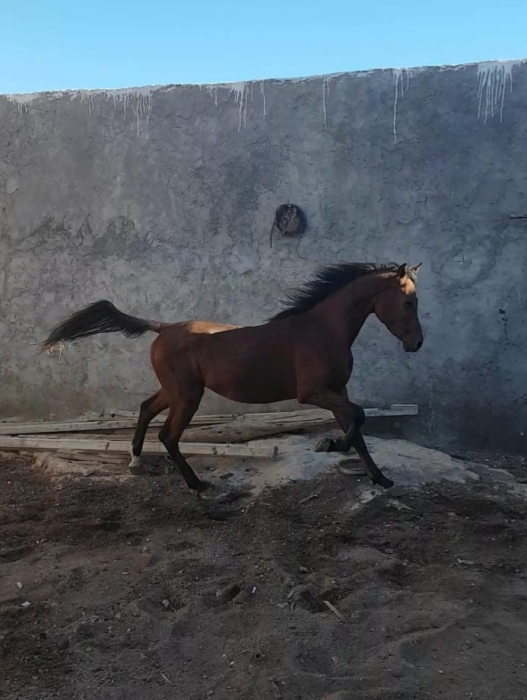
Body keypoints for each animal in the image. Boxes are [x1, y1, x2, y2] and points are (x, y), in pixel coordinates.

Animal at [41, 261, 423, 497]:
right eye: (408, 302)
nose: (417, 343)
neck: (323, 330)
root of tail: (163, 327)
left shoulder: (337, 389)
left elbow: (357, 431)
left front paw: (381, 478)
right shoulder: (313, 393)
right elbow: (358, 417)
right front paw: (329, 445)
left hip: (176, 391)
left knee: (146, 408)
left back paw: (136, 461)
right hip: (187, 396)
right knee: (167, 435)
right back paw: (197, 484)